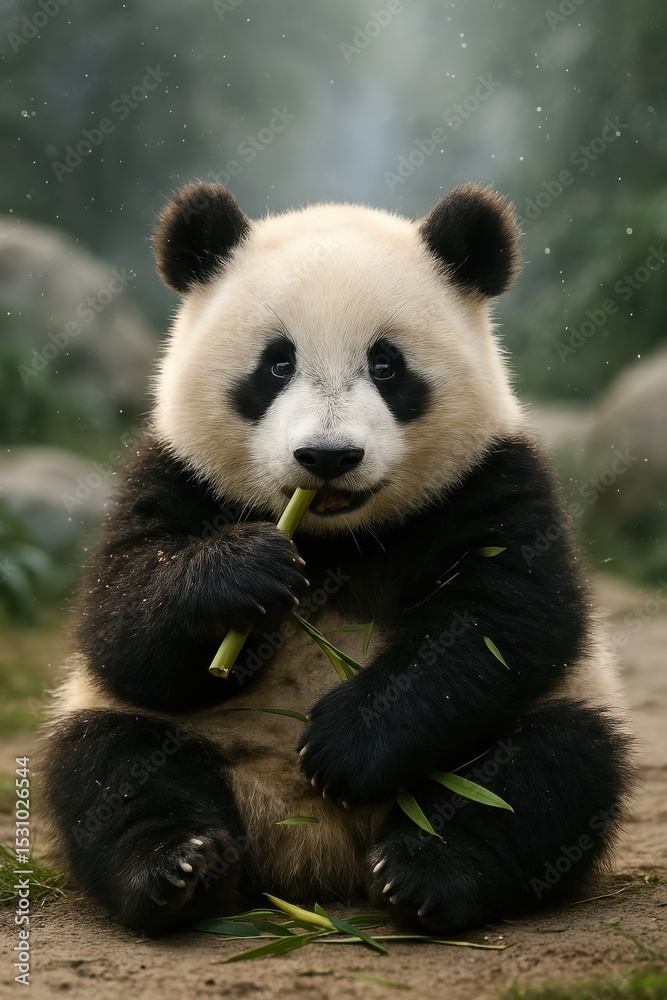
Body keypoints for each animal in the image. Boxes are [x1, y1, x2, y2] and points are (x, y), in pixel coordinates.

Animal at [41, 180, 632, 937]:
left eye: (385, 364)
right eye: (277, 363)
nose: (327, 456)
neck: (338, 539)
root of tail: (314, 853)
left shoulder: (493, 477)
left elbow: (504, 617)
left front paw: (344, 744)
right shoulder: (173, 470)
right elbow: (123, 621)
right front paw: (245, 573)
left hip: (527, 731)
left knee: (546, 770)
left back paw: (425, 872)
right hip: (176, 740)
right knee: (112, 764)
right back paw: (180, 871)